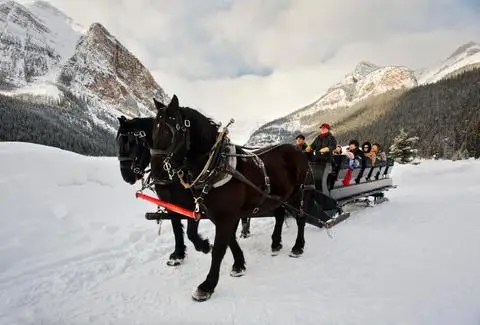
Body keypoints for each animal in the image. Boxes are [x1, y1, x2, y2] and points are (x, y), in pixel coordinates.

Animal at [115, 115, 211, 264]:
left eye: (130, 142)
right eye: (117, 142)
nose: (126, 176)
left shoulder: (194, 205)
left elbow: (191, 232)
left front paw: (204, 246)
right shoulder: (170, 205)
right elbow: (176, 228)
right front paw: (178, 254)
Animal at [150, 94, 316, 302]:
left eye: (172, 129)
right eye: (153, 128)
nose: (156, 173)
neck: (215, 164)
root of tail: (298, 151)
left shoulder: (226, 215)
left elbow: (220, 249)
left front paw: (207, 285)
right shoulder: (211, 212)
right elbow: (219, 238)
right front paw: (234, 261)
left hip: (299, 194)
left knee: (301, 219)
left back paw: (298, 247)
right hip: (277, 198)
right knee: (279, 216)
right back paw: (276, 243)